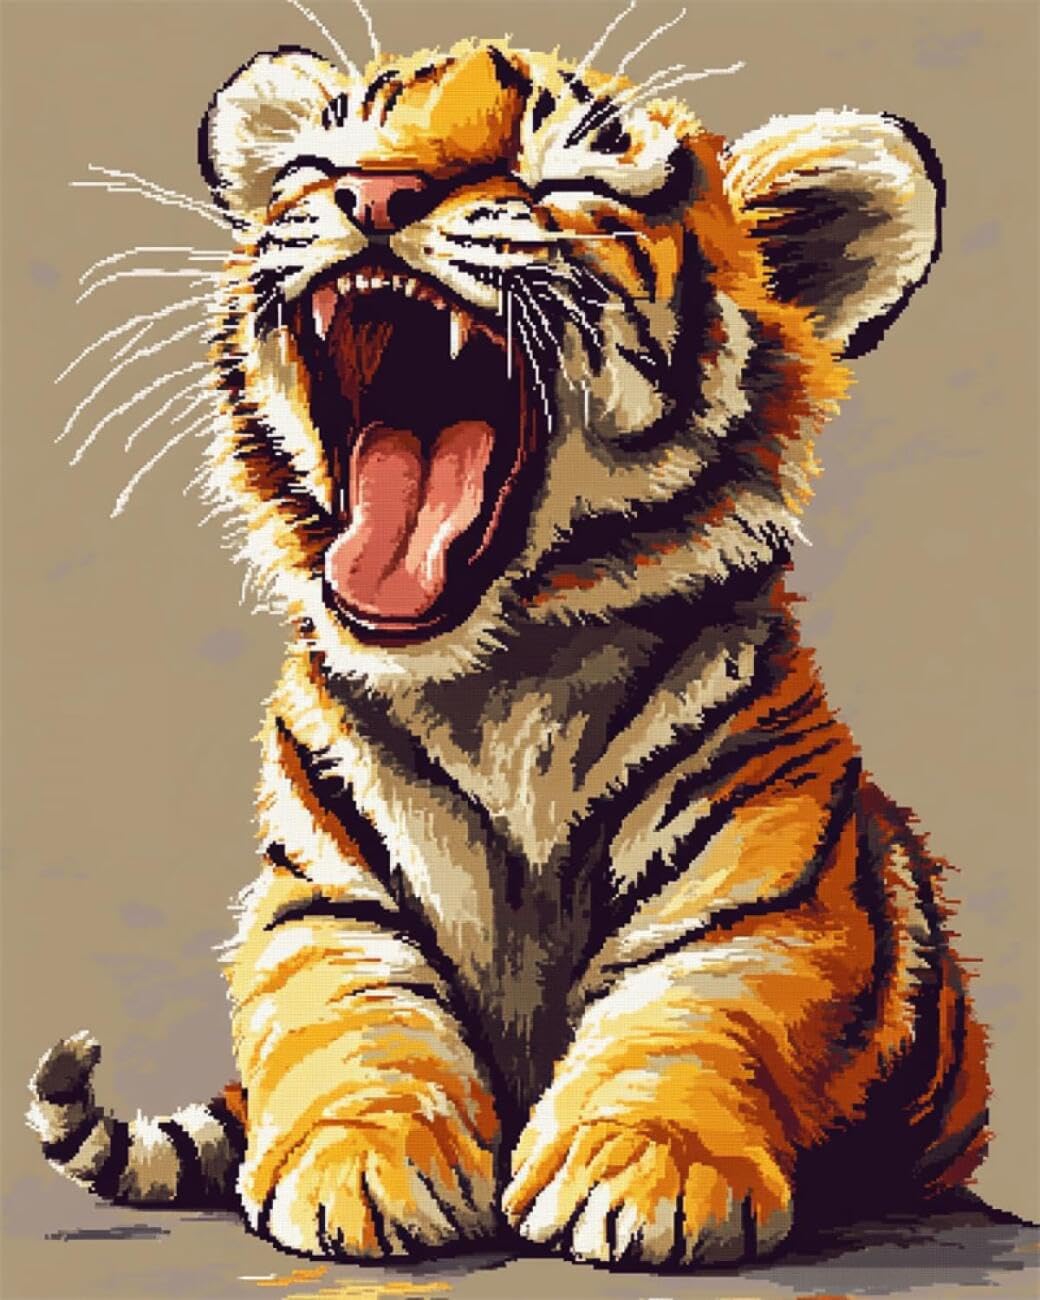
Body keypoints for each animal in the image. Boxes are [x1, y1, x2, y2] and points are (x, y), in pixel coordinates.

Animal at [28, 16, 990, 1271]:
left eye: (565, 179)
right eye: (317, 164)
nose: (374, 192)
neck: (502, 681)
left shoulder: (763, 901)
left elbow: (690, 1018)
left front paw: (638, 1168)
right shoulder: (325, 897)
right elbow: (352, 1018)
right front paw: (359, 1164)